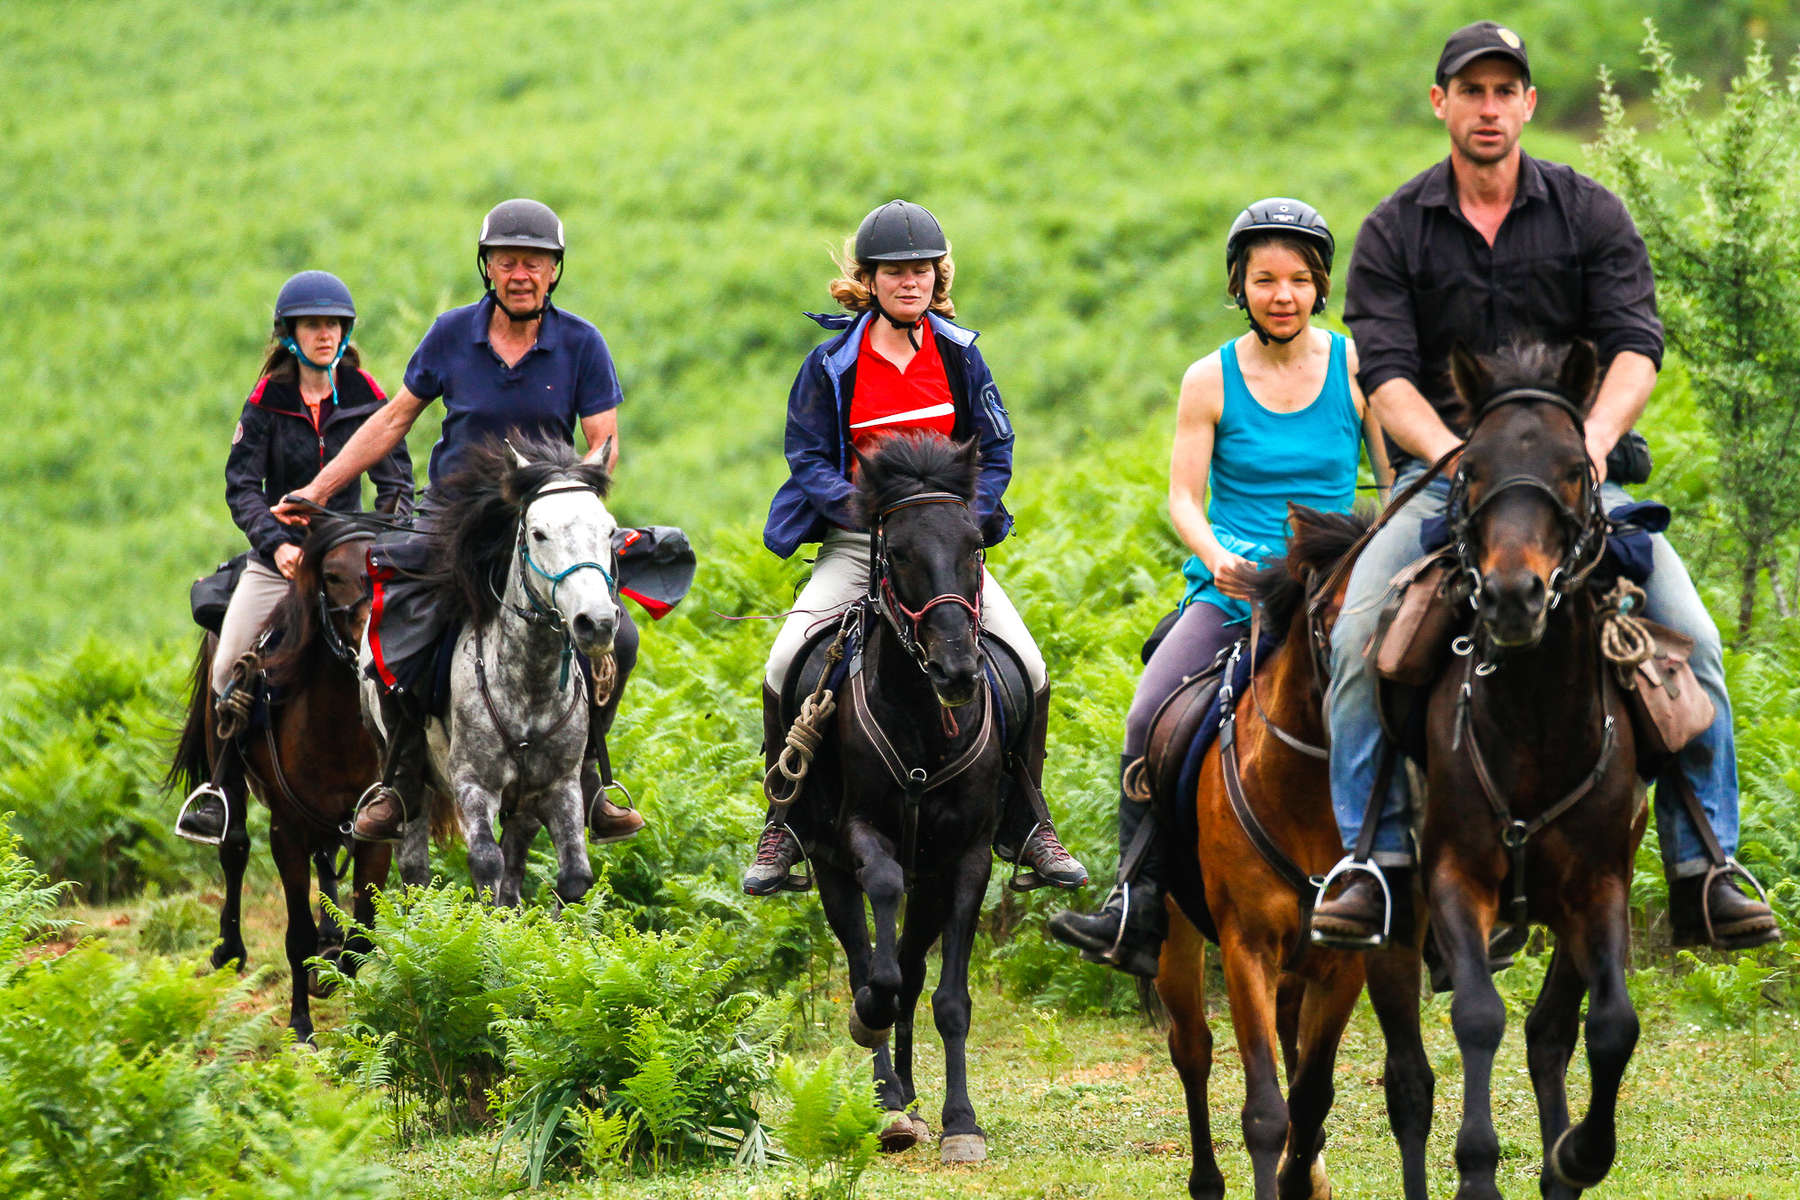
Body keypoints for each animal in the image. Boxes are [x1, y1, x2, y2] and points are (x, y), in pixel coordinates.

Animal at [167, 521, 392, 1043]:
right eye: (331, 576)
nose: (370, 652)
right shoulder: (285, 831)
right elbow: (296, 934)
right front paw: (302, 1025)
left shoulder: (375, 835)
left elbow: (363, 935)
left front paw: (333, 973)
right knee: (234, 848)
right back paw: (229, 950)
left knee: (326, 859)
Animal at [806, 429, 1008, 1165]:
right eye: (896, 552)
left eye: (975, 544)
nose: (957, 671)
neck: (925, 723)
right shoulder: (862, 833)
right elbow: (879, 969)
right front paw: (872, 1032)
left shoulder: (969, 855)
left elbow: (949, 999)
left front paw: (962, 1123)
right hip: (827, 866)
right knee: (867, 959)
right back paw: (891, 1102)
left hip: (934, 884)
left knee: (915, 970)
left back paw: (914, 1097)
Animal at [1152, 507, 1432, 1200]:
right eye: (1334, 615)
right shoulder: (1245, 945)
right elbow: (1265, 1108)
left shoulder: (1343, 960)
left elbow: (1310, 1095)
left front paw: (1303, 1177)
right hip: (1174, 932)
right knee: (1192, 1047)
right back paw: (1206, 1180)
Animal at [1418, 340, 1648, 1200]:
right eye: (1470, 468)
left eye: (1576, 469)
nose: (1514, 596)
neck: (1536, 728)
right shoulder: (1454, 876)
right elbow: (1479, 1014)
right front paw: (1477, 1171)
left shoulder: (1602, 883)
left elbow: (1612, 1024)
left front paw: (1580, 1153)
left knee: (1553, 1028)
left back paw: (1561, 1169)